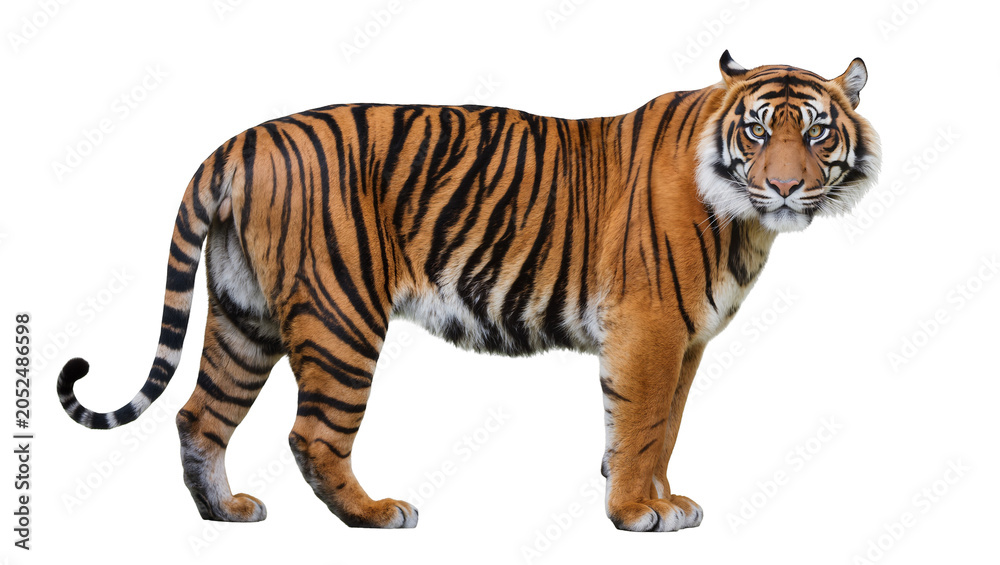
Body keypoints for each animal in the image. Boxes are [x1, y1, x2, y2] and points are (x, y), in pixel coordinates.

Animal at [57, 51, 880, 532]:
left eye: (815, 133)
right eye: (757, 131)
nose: (784, 186)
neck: (746, 223)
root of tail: (240, 140)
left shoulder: (686, 342)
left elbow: (663, 428)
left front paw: (661, 497)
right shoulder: (649, 330)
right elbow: (639, 423)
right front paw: (635, 512)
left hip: (243, 312)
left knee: (199, 414)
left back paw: (224, 511)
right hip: (340, 314)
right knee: (312, 433)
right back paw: (376, 514)